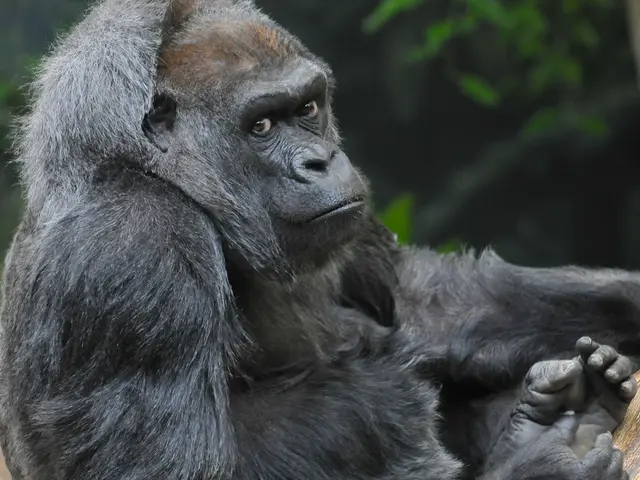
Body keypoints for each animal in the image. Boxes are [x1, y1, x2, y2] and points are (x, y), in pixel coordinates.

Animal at [1, 0, 640, 479]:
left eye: (307, 108)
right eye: (260, 125)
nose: (320, 161)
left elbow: (421, 301)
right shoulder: (131, 242)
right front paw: (539, 467)